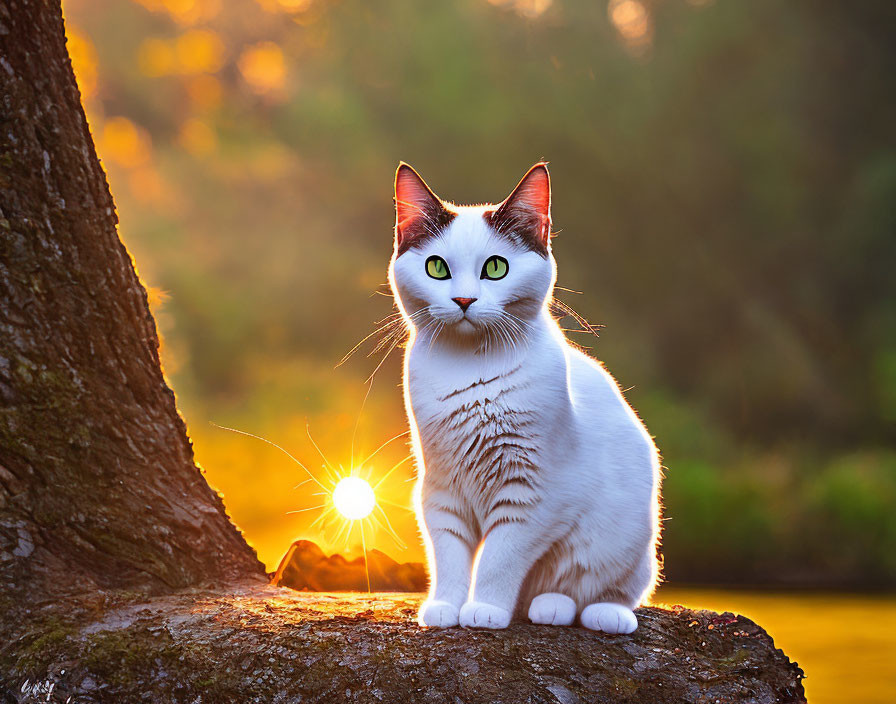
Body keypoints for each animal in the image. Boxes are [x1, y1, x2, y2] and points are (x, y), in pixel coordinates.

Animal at [388, 162, 660, 636]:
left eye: (496, 268)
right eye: (436, 268)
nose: (463, 299)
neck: (470, 370)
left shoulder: (532, 497)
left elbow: (499, 558)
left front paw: (485, 610)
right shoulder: (441, 491)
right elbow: (450, 558)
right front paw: (445, 607)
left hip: (630, 543)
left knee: (606, 592)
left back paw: (587, 612)